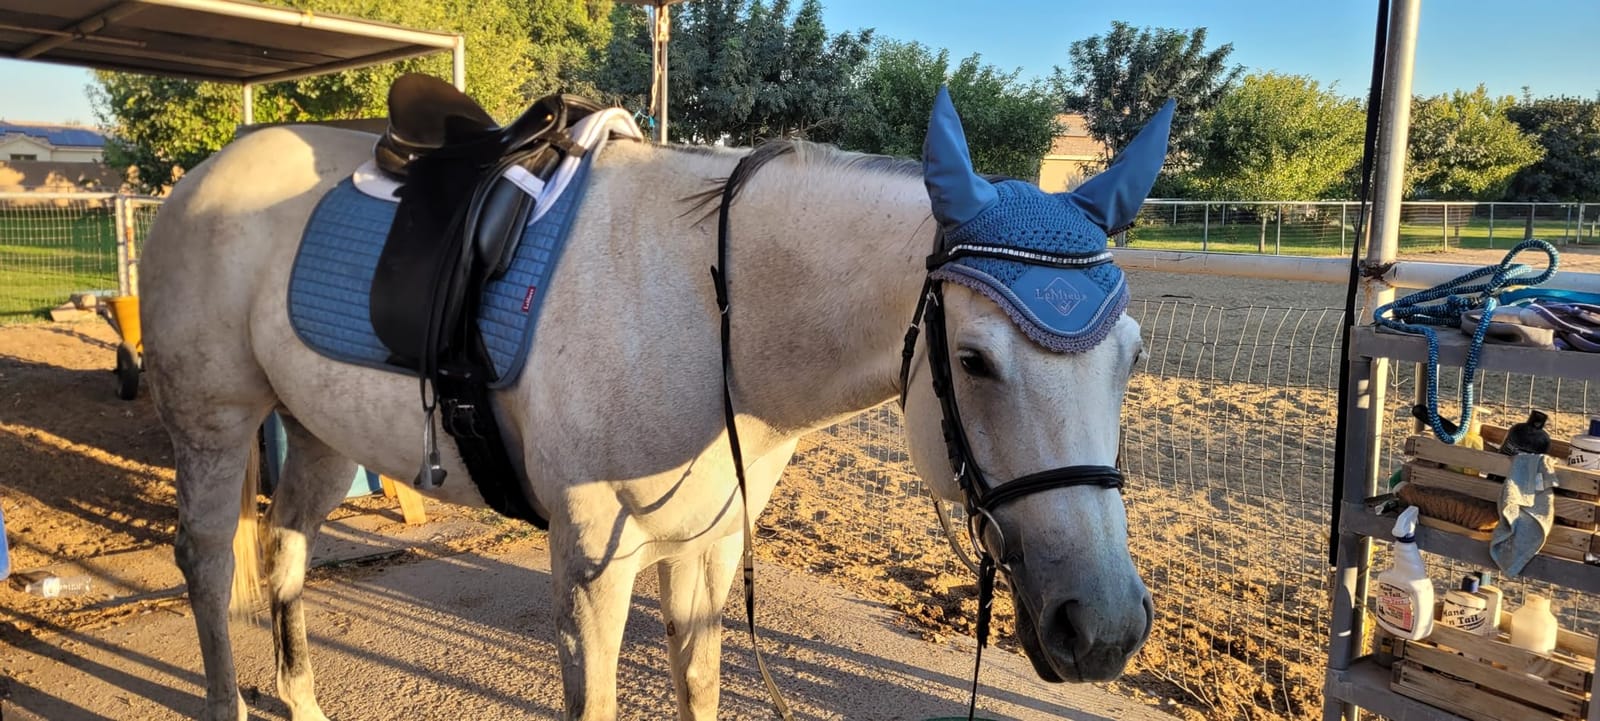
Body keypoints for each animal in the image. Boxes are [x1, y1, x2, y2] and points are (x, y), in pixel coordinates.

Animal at [137, 86, 1173, 721]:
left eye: (1130, 356)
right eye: (974, 358)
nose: (1106, 628)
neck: (708, 313)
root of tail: (208, 172)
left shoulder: (705, 554)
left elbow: (700, 689)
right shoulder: (592, 573)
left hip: (318, 430)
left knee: (282, 551)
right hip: (215, 419)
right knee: (206, 562)